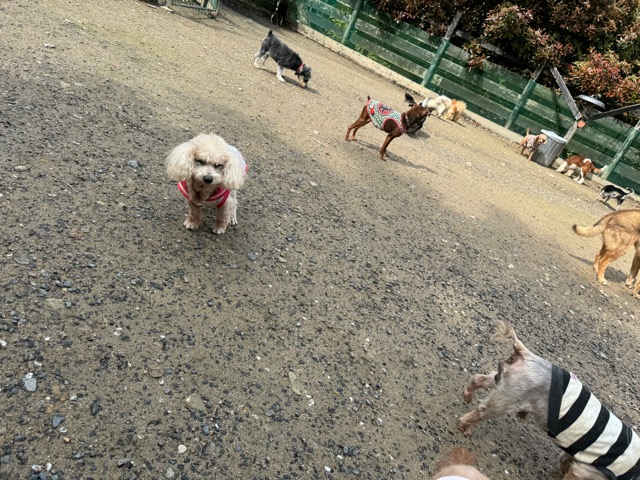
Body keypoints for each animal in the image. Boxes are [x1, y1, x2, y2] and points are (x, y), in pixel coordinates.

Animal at [458, 321, 640, 480]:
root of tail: (528, 355)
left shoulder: (576, 458)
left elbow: (565, 461)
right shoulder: (590, 472)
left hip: (505, 383)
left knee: (479, 379)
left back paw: (467, 395)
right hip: (509, 397)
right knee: (480, 412)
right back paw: (466, 427)